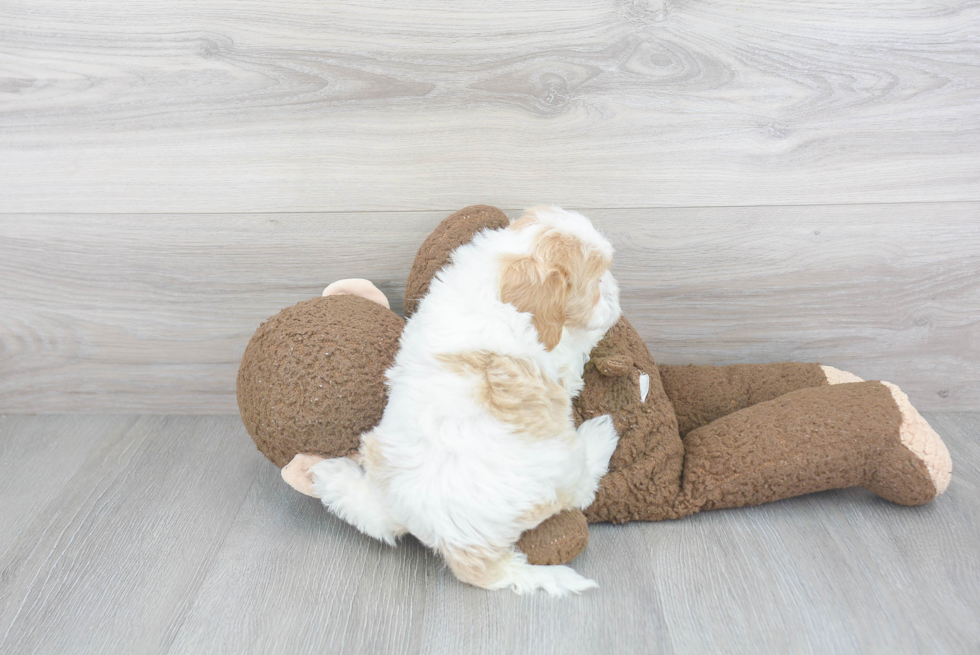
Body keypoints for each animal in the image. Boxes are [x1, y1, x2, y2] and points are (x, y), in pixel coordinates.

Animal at [302, 208, 620, 596]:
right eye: (596, 282)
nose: (616, 290)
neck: (499, 281)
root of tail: (456, 547)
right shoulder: (559, 356)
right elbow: (577, 350)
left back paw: (330, 475)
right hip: (563, 466)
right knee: (581, 490)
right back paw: (601, 435)